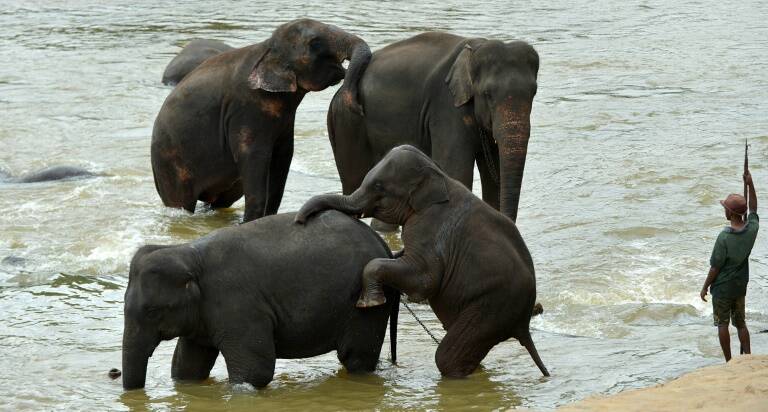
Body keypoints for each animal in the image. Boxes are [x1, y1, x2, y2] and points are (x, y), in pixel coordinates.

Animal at [122, 211, 400, 392]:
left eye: (152, 311)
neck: (188, 253)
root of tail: (385, 247)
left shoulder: (237, 304)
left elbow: (255, 370)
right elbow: (187, 366)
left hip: (364, 308)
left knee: (356, 357)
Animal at [151, 20, 372, 222]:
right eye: (315, 43)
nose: (357, 106)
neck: (266, 48)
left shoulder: (283, 120)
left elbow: (283, 156)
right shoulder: (246, 109)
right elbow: (255, 157)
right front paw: (250, 222)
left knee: (224, 199)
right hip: (170, 167)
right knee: (182, 203)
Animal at [296, 146, 548, 380]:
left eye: (379, 187)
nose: (300, 220)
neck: (439, 175)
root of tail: (524, 324)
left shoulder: (429, 226)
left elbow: (424, 281)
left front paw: (370, 303)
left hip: (492, 308)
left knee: (447, 357)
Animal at [328, 31, 536, 225]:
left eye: (533, 93)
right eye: (488, 94)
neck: (475, 49)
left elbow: (493, 179)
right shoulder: (447, 109)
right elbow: (457, 171)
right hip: (347, 122)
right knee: (353, 181)